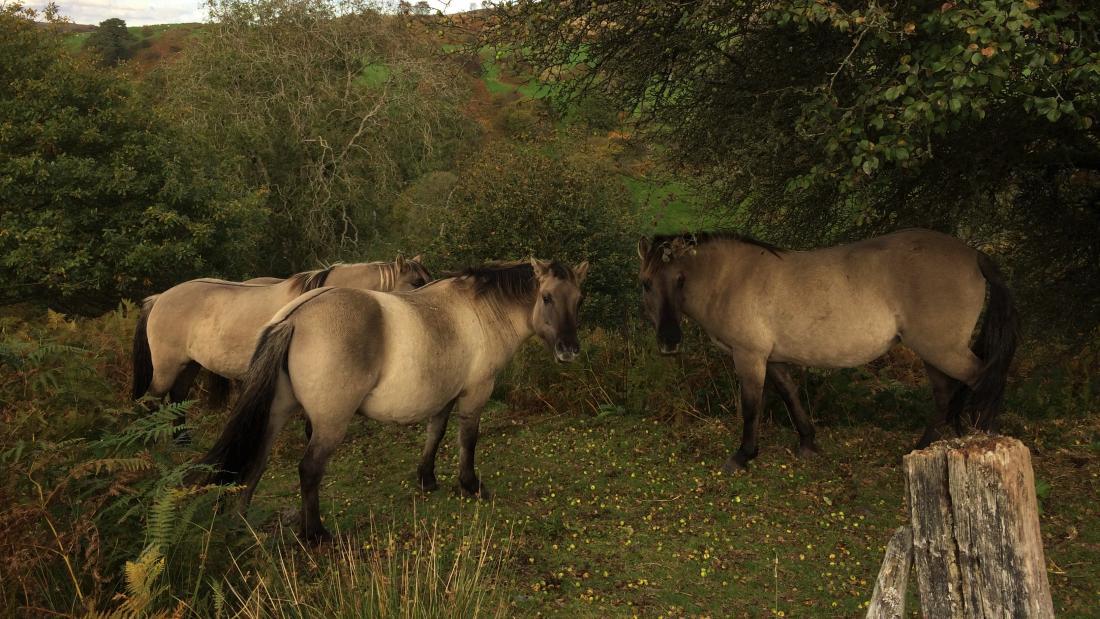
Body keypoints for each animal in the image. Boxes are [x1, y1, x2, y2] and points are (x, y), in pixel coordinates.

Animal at [130, 253, 431, 437]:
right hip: (167, 367)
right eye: (416, 282)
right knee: (152, 401)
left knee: (177, 398)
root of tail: (159, 298)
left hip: (189, 364)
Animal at [201, 259, 589, 540]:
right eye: (547, 298)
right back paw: (316, 534)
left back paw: (241, 526)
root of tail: (296, 317)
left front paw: (427, 479)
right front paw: (470, 485)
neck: (480, 311)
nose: (570, 350)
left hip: (276, 414)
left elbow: (435, 433)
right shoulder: (475, 393)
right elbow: (468, 439)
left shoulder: (444, 396)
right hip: (329, 424)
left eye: (578, 300)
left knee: (255, 464)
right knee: (309, 469)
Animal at [642, 229, 1016, 472]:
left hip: (942, 350)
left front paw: (743, 455)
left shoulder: (749, 357)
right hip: (934, 353)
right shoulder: (773, 359)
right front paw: (808, 443)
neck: (732, 277)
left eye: (680, 279)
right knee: (946, 395)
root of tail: (974, 255)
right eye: (646, 284)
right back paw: (926, 447)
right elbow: (790, 395)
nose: (669, 341)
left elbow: (751, 407)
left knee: (982, 381)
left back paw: (978, 437)